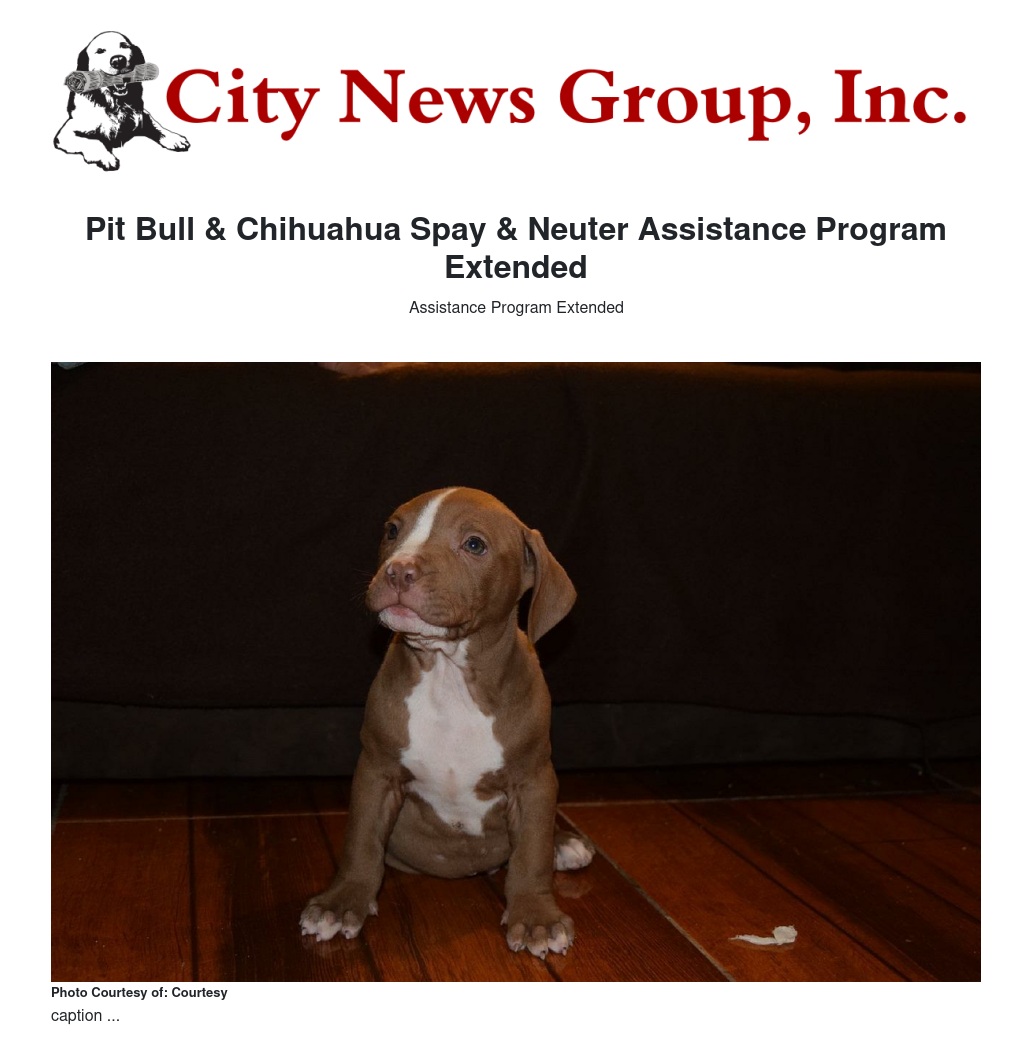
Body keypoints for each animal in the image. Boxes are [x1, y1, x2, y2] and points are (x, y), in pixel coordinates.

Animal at [55, 31, 189, 170]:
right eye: (100, 51)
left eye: (124, 46)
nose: (118, 60)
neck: (115, 103)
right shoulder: (65, 134)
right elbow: (94, 141)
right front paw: (107, 158)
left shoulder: (141, 114)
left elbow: (156, 125)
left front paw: (174, 138)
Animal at [301, 487, 594, 959]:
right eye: (392, 531)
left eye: (474, 544)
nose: (398, 570)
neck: (449, 677)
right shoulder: (377, 771)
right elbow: (361, 841)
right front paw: (342, 903)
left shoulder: (533, 779)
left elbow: (530, 852)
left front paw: (536, 916)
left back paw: (564, 844)